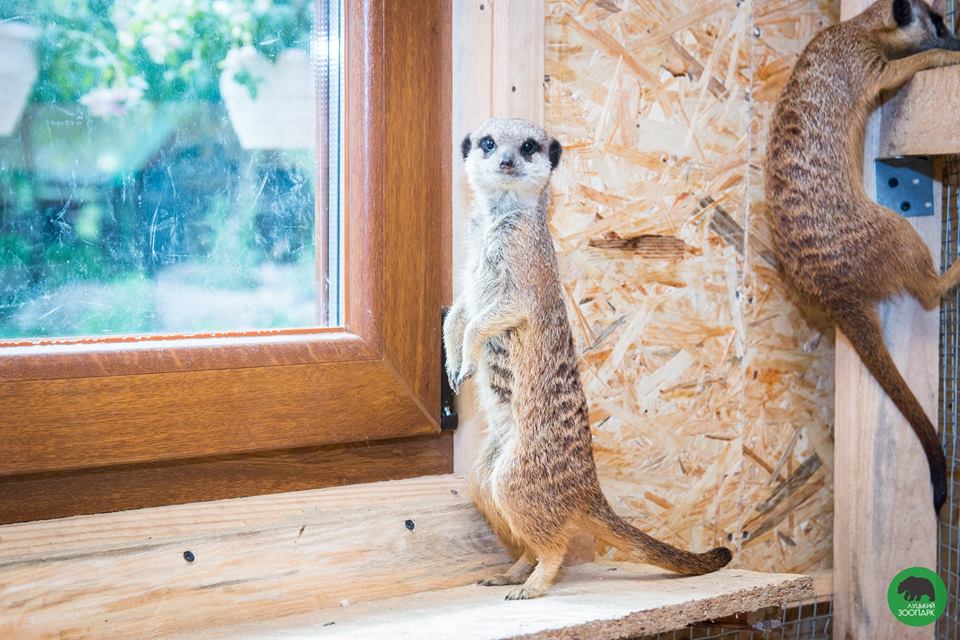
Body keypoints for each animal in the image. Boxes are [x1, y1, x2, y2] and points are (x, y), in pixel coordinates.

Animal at [444, 118, 731, 600]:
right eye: (487, 142)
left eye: (528, 146)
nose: (506, 160)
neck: (500, 218)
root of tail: (585, 489)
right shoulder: (470, 263)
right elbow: (459, 309)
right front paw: (452, 357)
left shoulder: (523, 266)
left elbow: (494, 314)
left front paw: (466, 353)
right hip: (487, 468)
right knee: (490, 493)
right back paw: (514, 569)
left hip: (522, 469)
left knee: (547, 534)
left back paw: (534, 581)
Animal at [766, 0, 960, 513]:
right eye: (938, 22)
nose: (956, 41)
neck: (860, 29)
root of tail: (834, 294)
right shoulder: (861, 61)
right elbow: (894, 73)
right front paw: (943, 59)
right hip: (888, 232)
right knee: (924, 282)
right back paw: (951, 271)